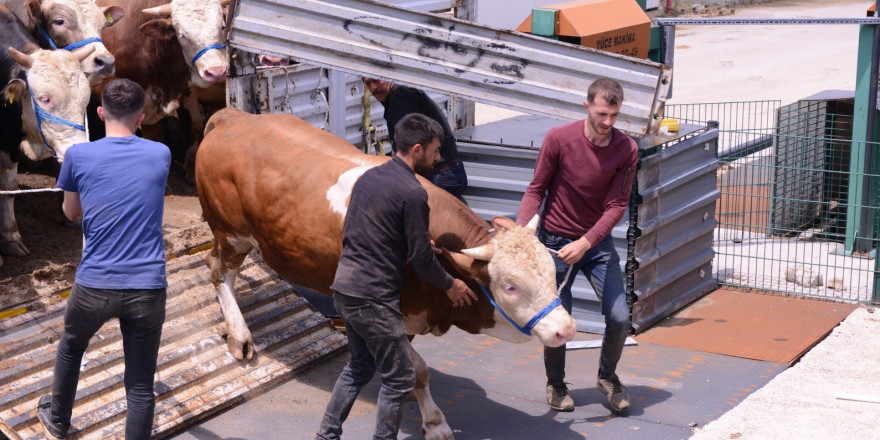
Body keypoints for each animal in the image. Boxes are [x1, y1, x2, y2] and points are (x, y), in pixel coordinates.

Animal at [194, 108, 576, 438]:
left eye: (552, 274)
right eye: (510, 287)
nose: (566, 329)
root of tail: (233, 117)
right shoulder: (393, 313)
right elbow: (417, 371)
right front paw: (435, 423)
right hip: (231, 233)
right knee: (218, 272)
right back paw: (240, 335)